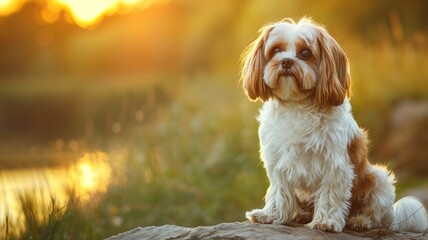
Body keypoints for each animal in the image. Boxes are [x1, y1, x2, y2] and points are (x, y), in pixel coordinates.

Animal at [239, 17, 426, 232]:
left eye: (305, 53)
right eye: (276, 50)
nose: (286, 61)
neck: (297, 105)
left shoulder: (335, 165)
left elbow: (329, 195)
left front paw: (326, 221)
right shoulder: (278, 162)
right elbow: (279, 191)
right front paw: (271, 214)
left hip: (377, 178)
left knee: (375, 213)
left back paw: (360, 221)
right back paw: (301, 214)